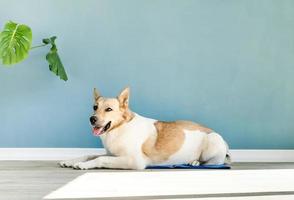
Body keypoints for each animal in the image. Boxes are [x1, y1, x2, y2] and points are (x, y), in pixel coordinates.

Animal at [59, 86, 230, 170]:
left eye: (108, 109)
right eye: (94, 107)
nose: (92, 119)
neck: (119, 129)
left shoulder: (134, 161)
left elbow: (100, 158)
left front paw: (83, 165)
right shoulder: (112, 154)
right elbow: (89, 154)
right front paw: (69, 160)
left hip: (212, 141)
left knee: (214, 162)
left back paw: (195, 163)